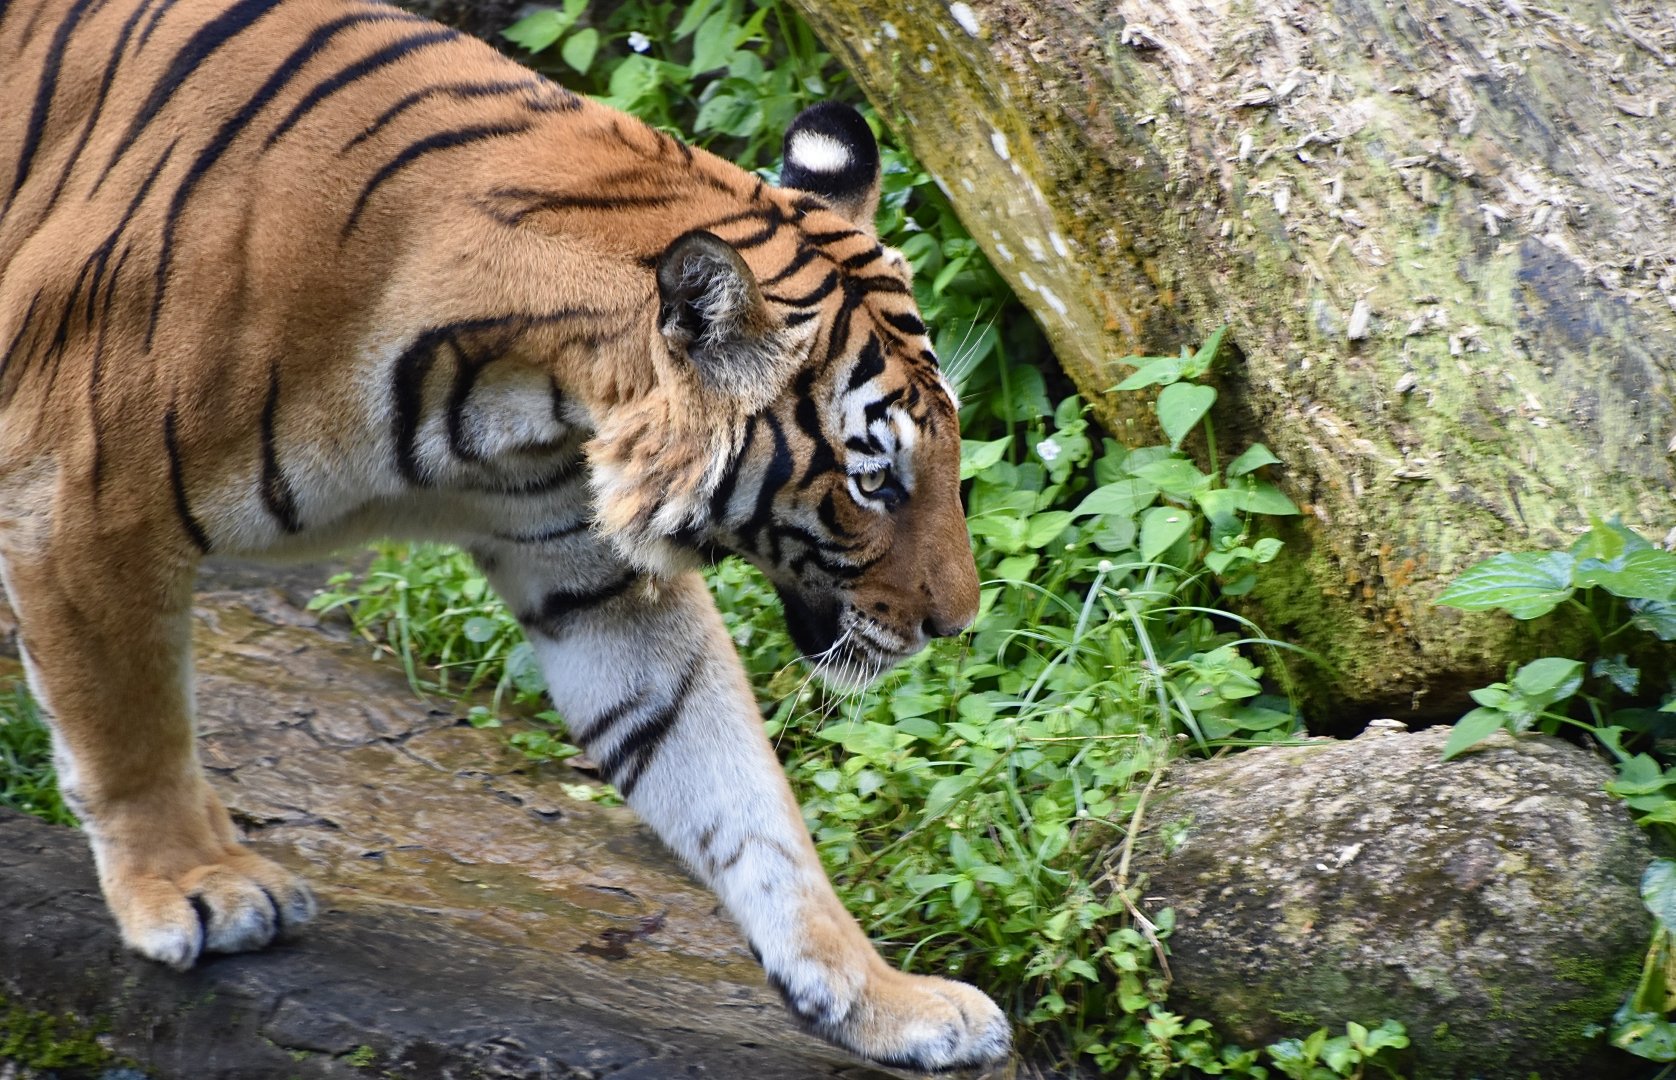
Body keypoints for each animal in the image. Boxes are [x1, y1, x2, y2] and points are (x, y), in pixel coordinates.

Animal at [0, 0, 1011, 1069]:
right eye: (875, 480)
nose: (958, 623)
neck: (530, 396)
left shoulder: (594, 576)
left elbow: (738, 799)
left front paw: (886, 1002)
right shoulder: (81, 498)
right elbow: (130, 725)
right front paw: (195, 887)